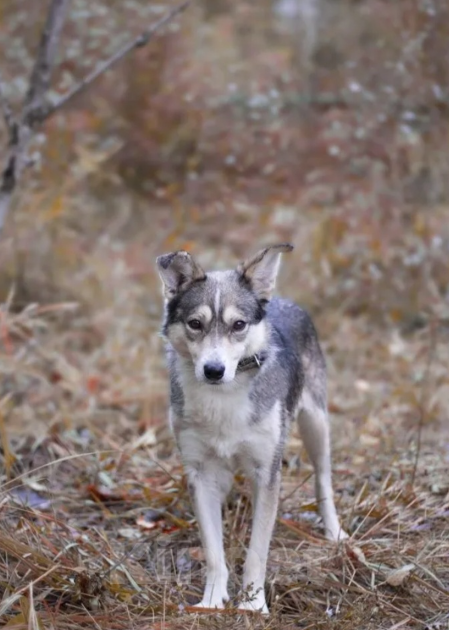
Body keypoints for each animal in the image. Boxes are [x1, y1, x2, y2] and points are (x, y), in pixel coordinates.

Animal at [157, 244, 346, 616]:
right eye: (195, 324)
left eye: (239, 325)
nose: (213, 370)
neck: (222, 399)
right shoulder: (201, 474)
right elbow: (214, 551)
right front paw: (212, 600)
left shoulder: (266, 473)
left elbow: (257, 551)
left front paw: (253, 603)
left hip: (316, 425)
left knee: (323, 479)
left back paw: (333, 530)